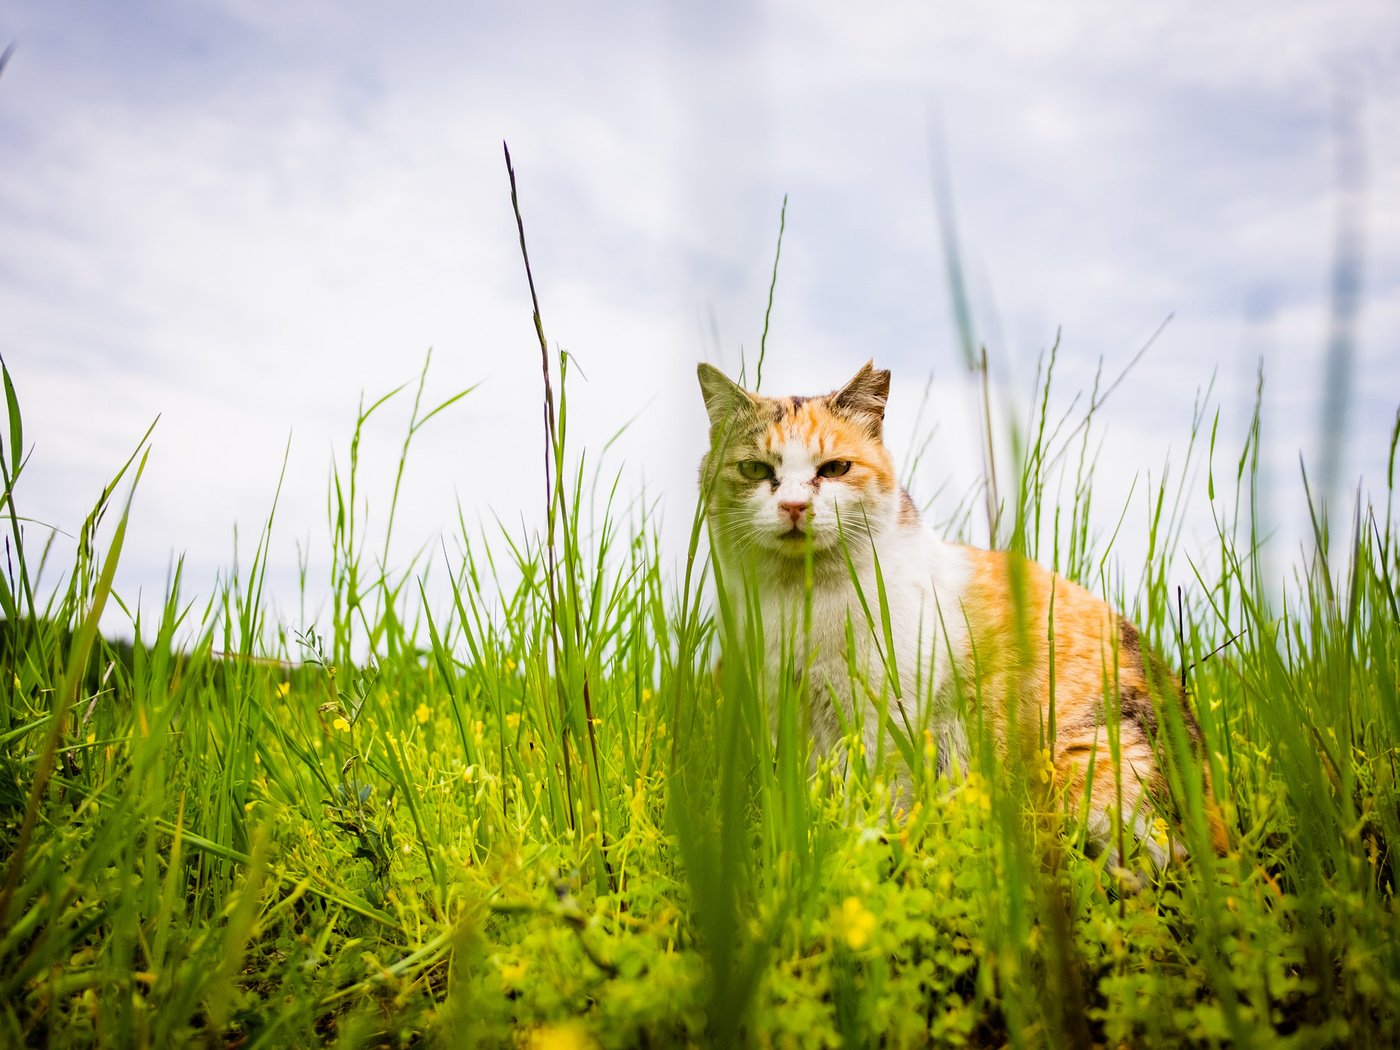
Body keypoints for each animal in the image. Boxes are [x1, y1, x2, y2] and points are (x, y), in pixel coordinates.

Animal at [700, 358, 1226, 868]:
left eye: (835, 468)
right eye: (753, 469)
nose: (793, 506)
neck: (801, 602)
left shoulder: (887, 717)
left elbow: (879, 799)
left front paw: (865, 852)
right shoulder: (785, 714)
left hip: (1093, 769)